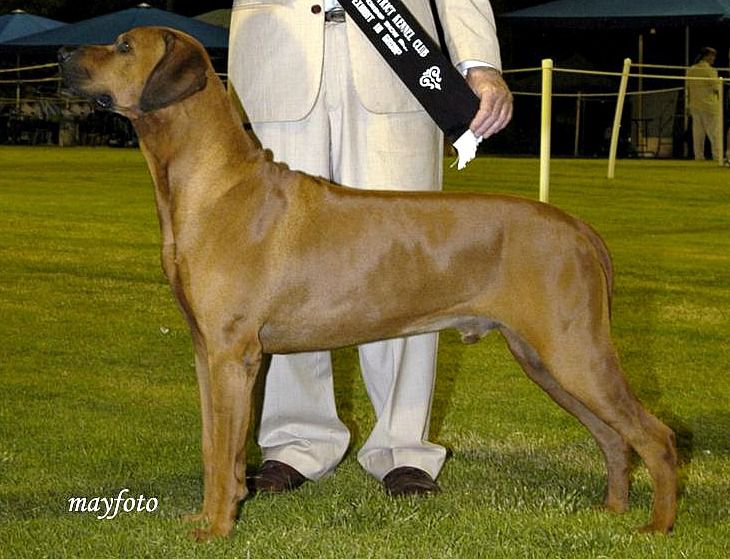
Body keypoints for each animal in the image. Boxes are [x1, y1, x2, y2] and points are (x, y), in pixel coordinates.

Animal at [58, 26, 676, 544]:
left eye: (122, 47)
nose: (62, 54)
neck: (217, 185)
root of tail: (577, 226)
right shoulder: (206, 352)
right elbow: (217, 449)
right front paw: (217, 511)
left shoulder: (233, 355)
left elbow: (223, 450)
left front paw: (216, 529)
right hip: (545, 358)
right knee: (615, 437)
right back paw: (613, 511)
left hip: (574, 351)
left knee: (658, 436)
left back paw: (657, 527)